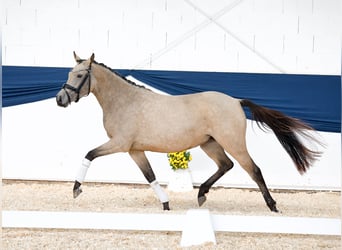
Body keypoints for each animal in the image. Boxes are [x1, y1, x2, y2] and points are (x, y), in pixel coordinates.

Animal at [55, 52, 320, 213]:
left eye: (80, 75)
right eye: (68, 73)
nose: (60, 99)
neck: (125, 101)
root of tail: (235, 101)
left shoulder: (120, 144)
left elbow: (89, 154)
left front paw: (76, 190)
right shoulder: (134, 150)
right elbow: (150, 176)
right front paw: (166, 204)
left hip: (232, 143)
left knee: (253, 169)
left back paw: (272, 205)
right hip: (210, 143)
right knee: (226, 165)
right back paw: (201, 194)